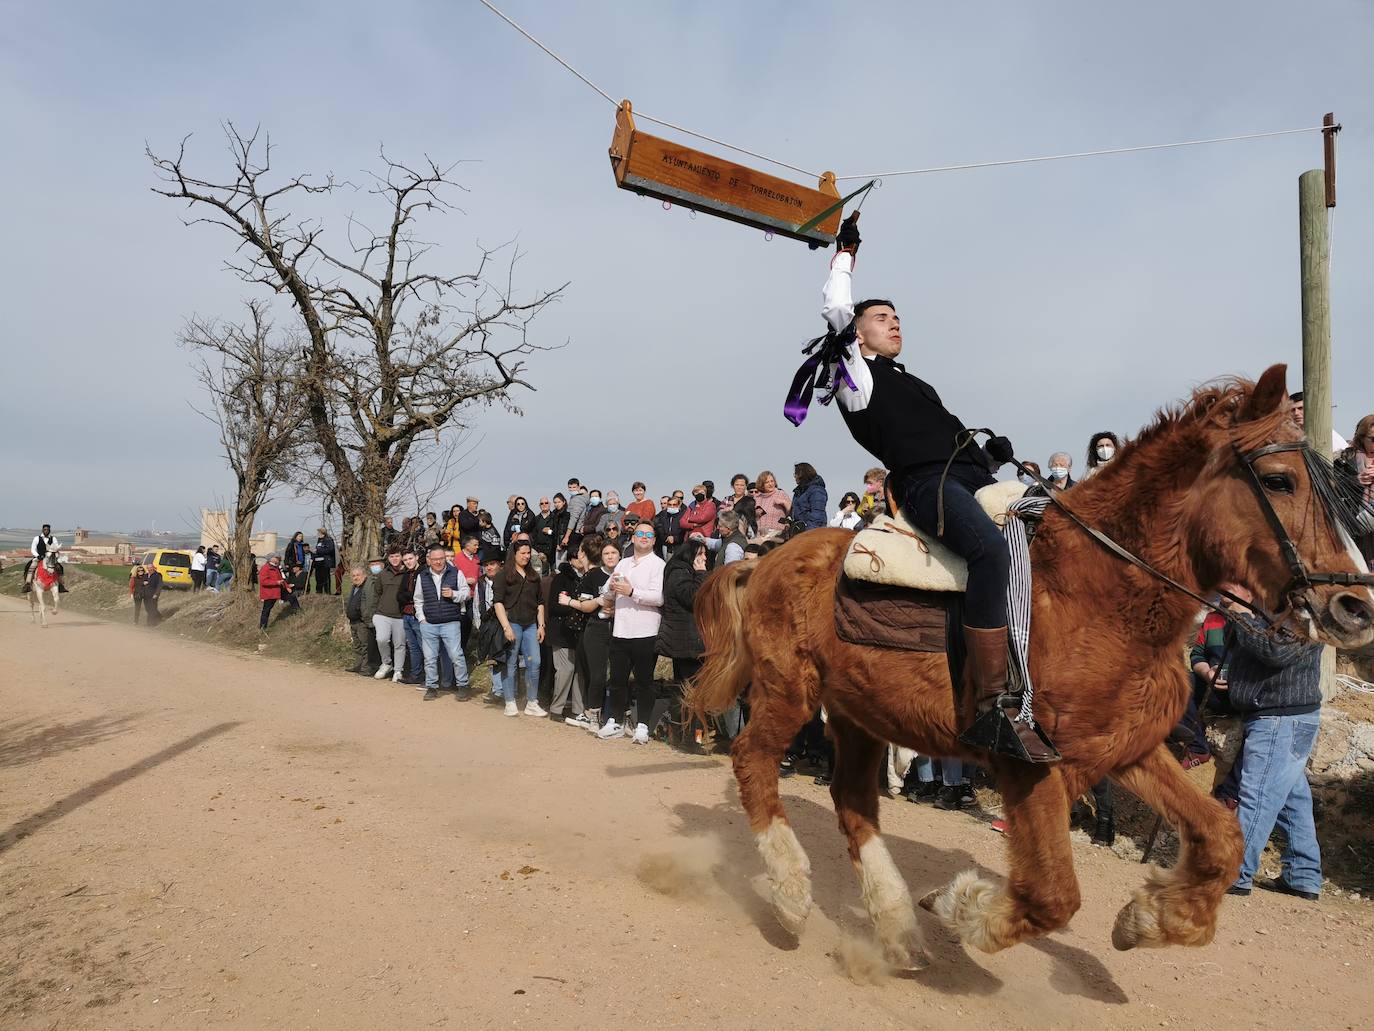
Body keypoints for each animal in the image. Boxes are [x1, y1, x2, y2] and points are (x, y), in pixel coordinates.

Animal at [692, 368, 1374, 973]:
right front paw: (964, 904)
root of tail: (765, 560)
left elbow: (1224, 837)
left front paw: (1151, 918)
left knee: (854, 803)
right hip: (789, 691)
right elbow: (1052, 895)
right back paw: (792, 895)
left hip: (858, 714)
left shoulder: (1127, 749)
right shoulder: (1033, 766)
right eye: (1279, 481)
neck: (1099, 592)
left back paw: (897, 930)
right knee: (753, 759)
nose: (1355, 605)